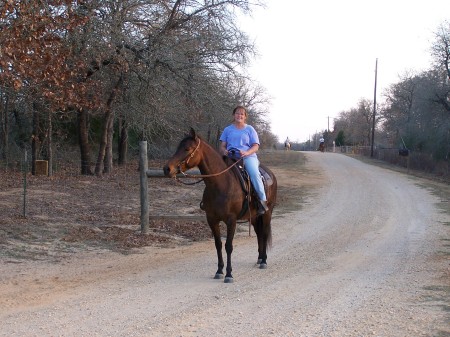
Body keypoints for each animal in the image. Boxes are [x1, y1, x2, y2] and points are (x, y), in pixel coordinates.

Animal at [163, 128, 276, 280]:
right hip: (254, 216)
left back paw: (264, 261)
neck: (221, 184)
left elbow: (228, 246)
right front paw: (219, 271)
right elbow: (218, 244)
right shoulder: (212, 219)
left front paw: (228, 274)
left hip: (267, 213)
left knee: (263, 233)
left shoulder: (231, 220)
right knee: (259, 233)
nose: (167, 169)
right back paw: (259, 258)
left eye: (187, 149)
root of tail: (270, 175)